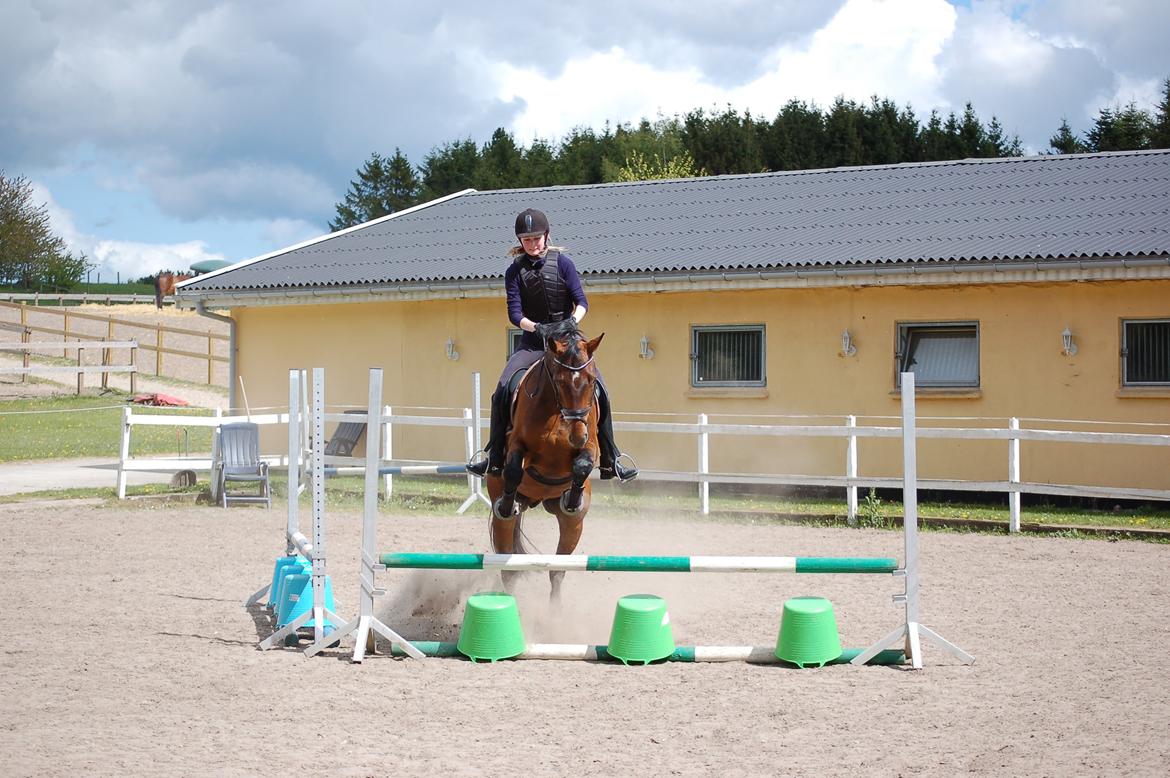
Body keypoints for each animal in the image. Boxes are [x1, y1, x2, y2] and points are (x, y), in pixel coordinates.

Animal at [489, 318, 608, 599]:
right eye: (559, 380)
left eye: (591, 380)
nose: (577, 436)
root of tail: (534, 501)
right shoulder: (516, 444)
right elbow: (513, 468)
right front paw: (507, 504)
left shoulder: (590, 446)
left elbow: (583, 464)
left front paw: (573, 499)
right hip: (502, 521)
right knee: (507, 567)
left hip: (572, 527)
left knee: (557, 570)